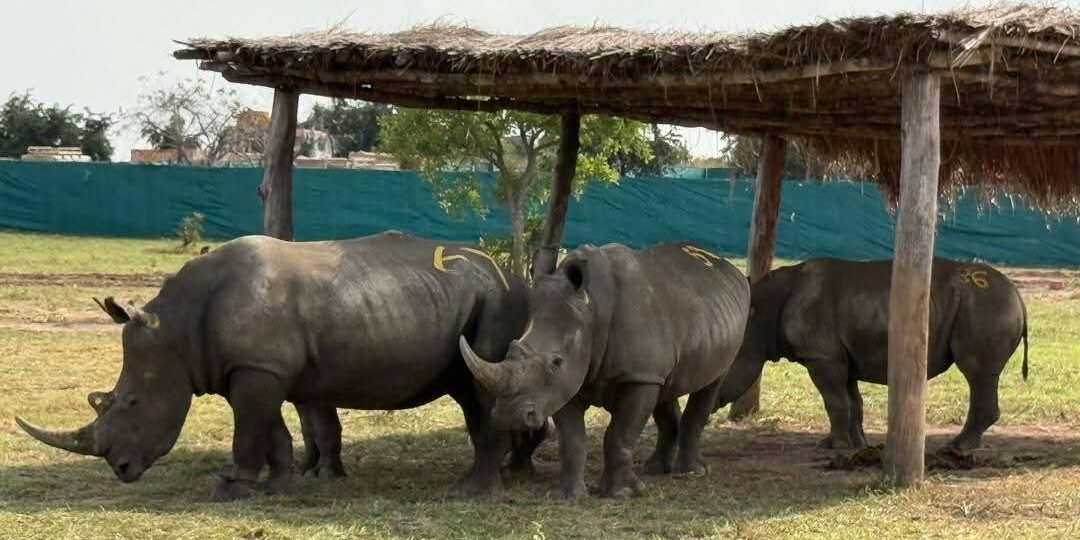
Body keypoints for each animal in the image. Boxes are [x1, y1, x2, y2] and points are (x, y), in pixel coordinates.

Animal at [16, 232, 535, 501]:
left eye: (132, 403)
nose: (122, 470)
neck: (177, 328)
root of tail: (517, 276)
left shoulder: (257, 369)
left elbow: (248, 430)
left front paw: (230, 487)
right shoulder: (252, 369)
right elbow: (269, 430)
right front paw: (279, 484)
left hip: (497, 300)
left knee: (484, 386)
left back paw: (474, 491)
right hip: (472, 299)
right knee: (469, 389)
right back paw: (479, 481)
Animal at [460, 243, 750, 498]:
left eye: (556, 362)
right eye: (511, 348)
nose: (507, 415)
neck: (591, 310)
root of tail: (728, 268)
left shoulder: (634, 376)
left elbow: (620, 435)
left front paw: (622, 494)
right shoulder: (567, 384)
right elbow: (572, 440)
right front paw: (566, 495)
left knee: (710, 384)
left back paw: (691, 473)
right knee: (666, 386)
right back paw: (655, 470)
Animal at [715, 258, 1029, 451]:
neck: (762, 315)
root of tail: (1018, 295)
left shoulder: (821, 356)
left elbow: (834, 401)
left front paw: (833, 446)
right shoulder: (841, 356)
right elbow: (852, 402)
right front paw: (857, 445)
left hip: (986, 305)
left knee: (977, 373)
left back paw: (958, 446)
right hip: (985, 304)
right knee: (982, 376)